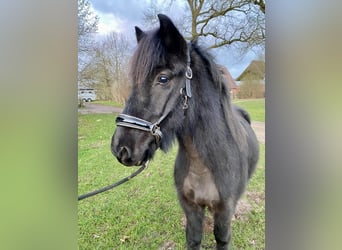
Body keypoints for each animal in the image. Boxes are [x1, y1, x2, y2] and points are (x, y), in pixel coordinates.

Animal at [112, 14, 260, 250]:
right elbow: (194, 238)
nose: (122, 148)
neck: (205, 163)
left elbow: (222, 238)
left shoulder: (224, 212)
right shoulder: (190, 208)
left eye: (163, 78)